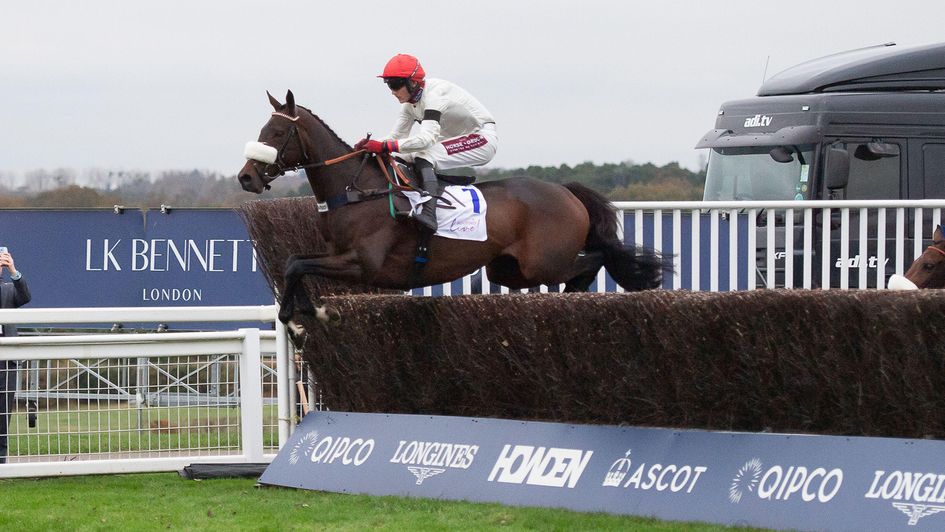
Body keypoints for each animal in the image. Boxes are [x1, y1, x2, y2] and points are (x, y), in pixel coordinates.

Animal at [236, 90, 664, 332]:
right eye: (262, 130)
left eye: (277, 133)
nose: (246, 177)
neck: (356, 190)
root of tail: (565, 191)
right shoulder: (336, 255)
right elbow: (294, 262)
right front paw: (303, 317)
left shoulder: (365, 264)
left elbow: (296, 265)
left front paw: (305, 319)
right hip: (506, 268)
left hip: (544, 262)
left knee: (591, 260)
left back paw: (575, 295)